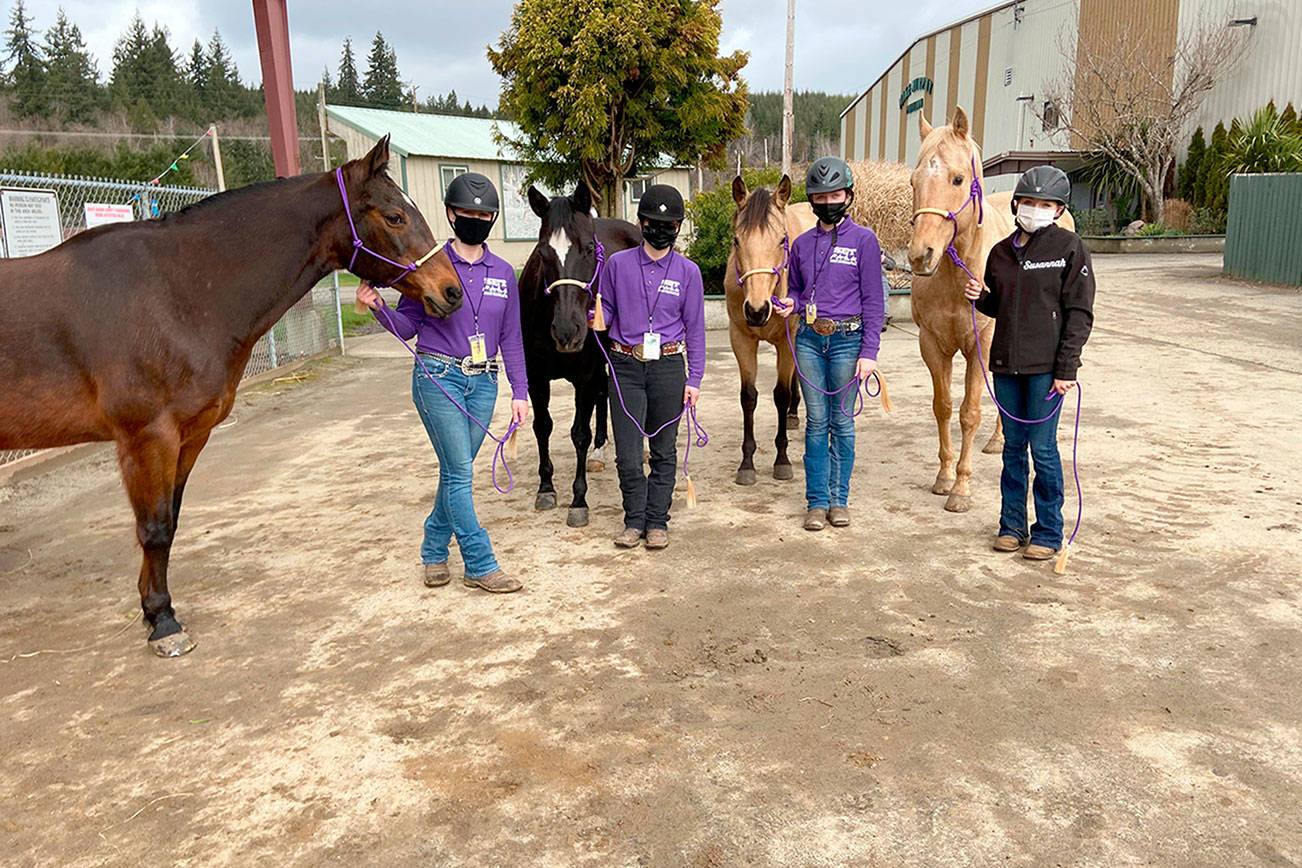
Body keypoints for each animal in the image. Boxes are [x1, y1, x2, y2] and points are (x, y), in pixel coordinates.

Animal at [0, 132, 463, 655]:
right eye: (395, 216)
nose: (451, 291)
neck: (175, 292)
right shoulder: (147, 439)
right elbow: (154, 528)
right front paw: (164, 623)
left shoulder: (189, 436)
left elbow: (171, 519)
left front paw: (150, 609)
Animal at [518, 182, 640, 530]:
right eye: (542, 253)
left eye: (587, 249)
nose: (566, 331)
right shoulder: (535, 375)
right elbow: (542, 426)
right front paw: (546, 487)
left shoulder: (586, 373)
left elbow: (579, 434)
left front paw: (578, 499)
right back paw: (600, 451)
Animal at [723, 174, 812, 489]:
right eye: (737, 240)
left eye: (782, 239)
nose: (757, 310)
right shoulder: (741, 339)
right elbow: (748, 396)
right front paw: (747, 463)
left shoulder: (787, 340)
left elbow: (780, 394)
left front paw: (782, 460)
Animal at [900, 111, 1072, 512]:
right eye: (914, 181)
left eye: (958, 179)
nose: (920, 256)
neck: (957, 275)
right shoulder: (933, 345)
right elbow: (944, 407)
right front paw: (944, 476)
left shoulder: (980, 344)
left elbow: (969, 412)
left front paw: (961, 487)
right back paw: (998, 439)